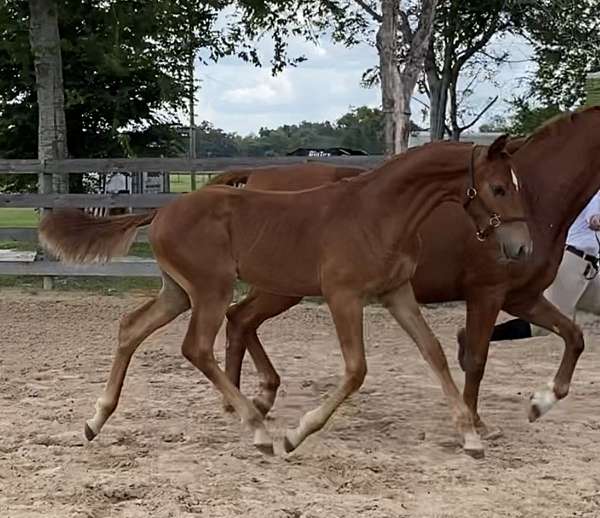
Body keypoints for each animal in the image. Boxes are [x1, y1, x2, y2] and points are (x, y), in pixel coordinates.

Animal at [38, 138, 528, 460]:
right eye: (499, 188)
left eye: (516, 186)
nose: (521, 246)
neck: (380, 213)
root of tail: (162, 211)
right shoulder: (343, 295)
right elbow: (356, 369)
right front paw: (297, 434)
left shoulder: (397, 293)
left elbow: (434, 352)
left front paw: (470, 436)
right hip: (211, 289)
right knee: (198, 345)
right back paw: (258, 429)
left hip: (178, 292)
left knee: (131, 328)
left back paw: (96, 420)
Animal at [220, 105, 600, 434]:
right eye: (499, 188)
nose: (520, 247)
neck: (538, 200)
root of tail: (257, 176)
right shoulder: (487, 294)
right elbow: (476, 358)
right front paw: (474, 421)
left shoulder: (523, 297)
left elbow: (574, 337)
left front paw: (540, 402)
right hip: (281, 288)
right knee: (240, 318)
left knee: (239, 318)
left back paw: (248, 398)